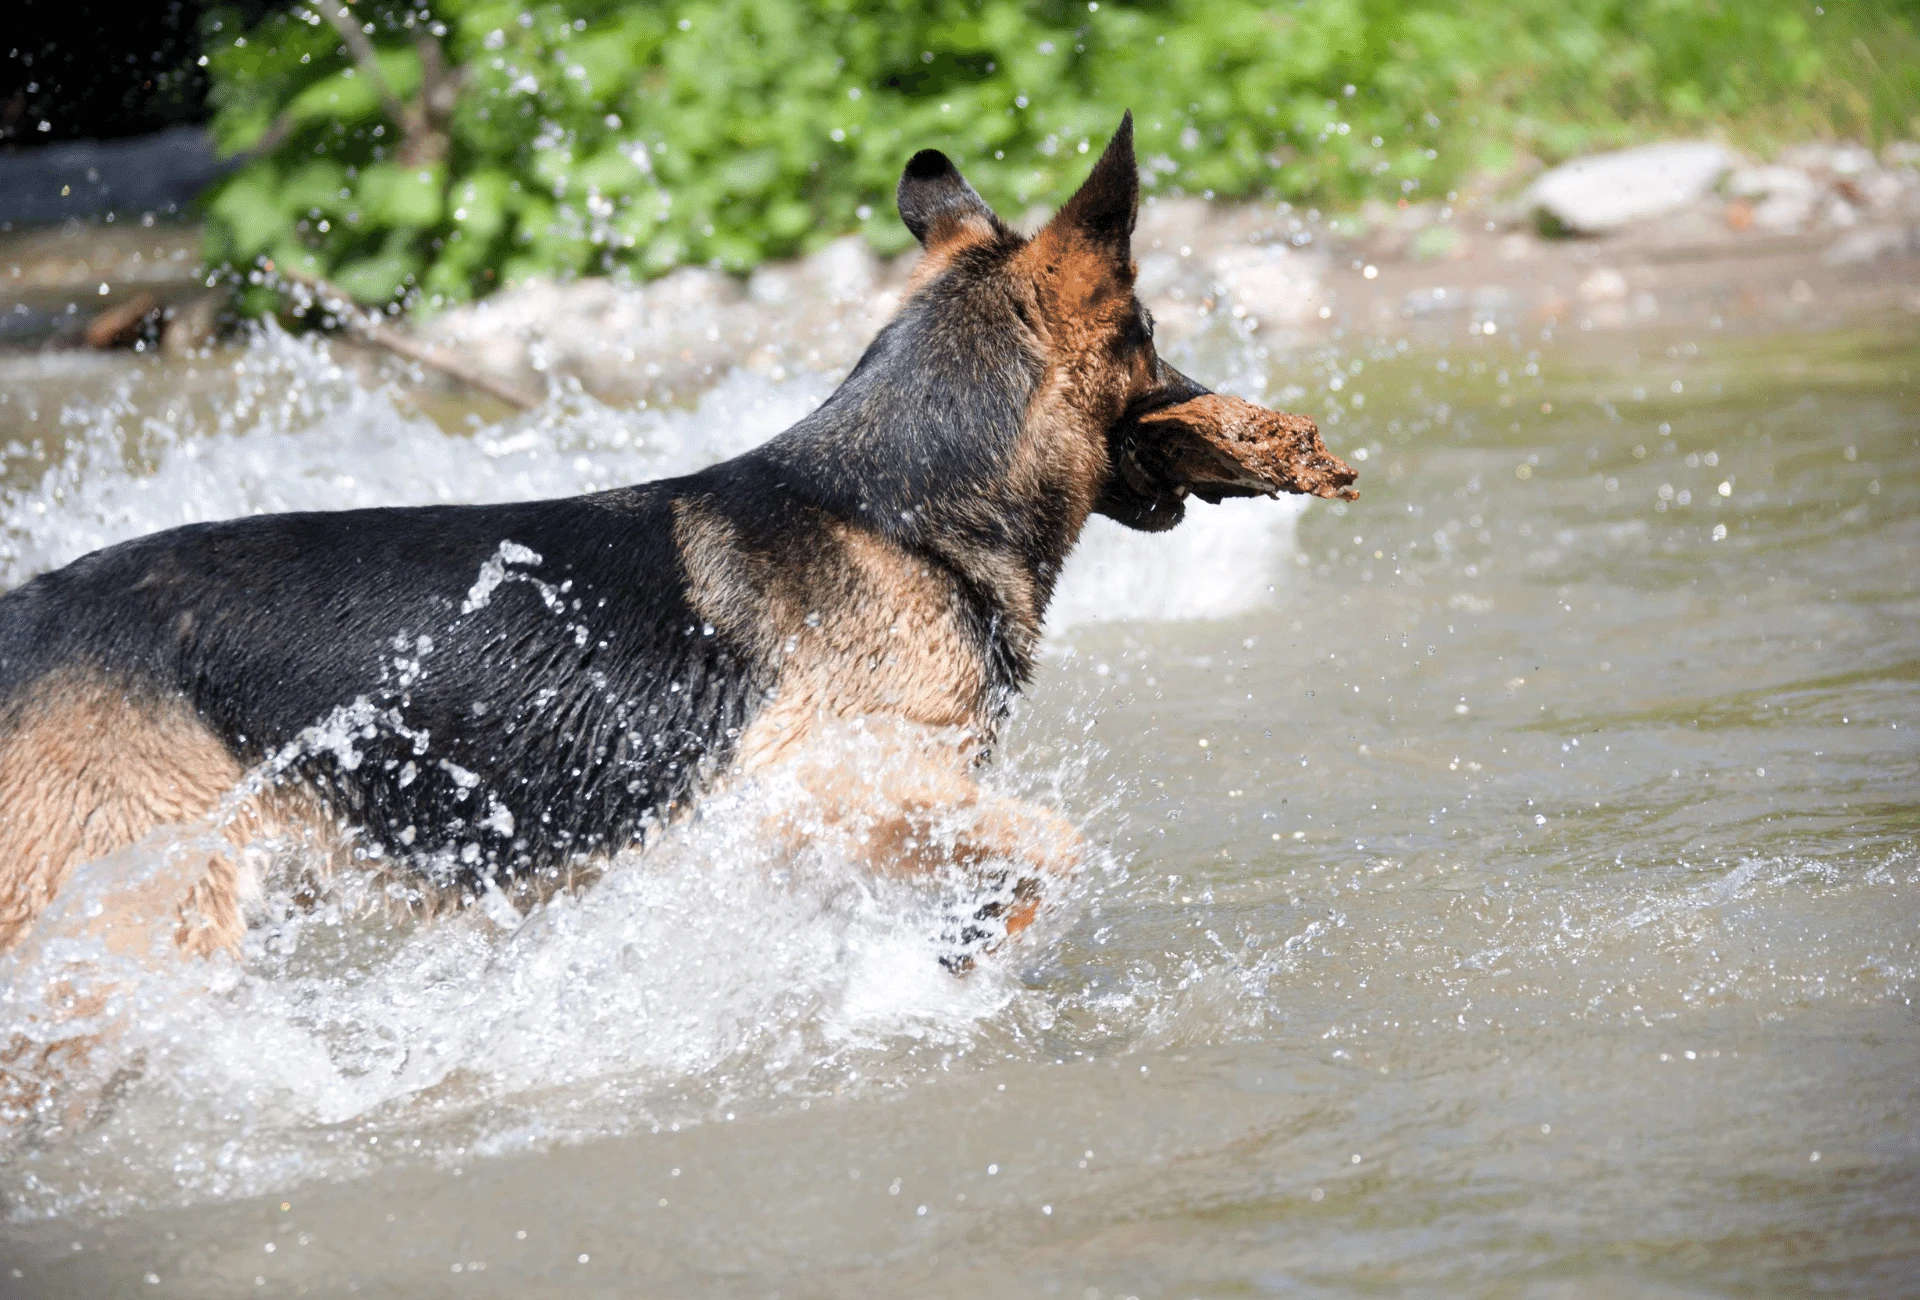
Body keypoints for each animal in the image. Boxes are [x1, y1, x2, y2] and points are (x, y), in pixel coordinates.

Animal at [0, 114, 1351, 983]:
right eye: (1153, 336)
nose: (1245, 420)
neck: (901, 508)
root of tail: (28, 613)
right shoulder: (825, 787)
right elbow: (1053, 850)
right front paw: (959, 965)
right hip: (133, 920)